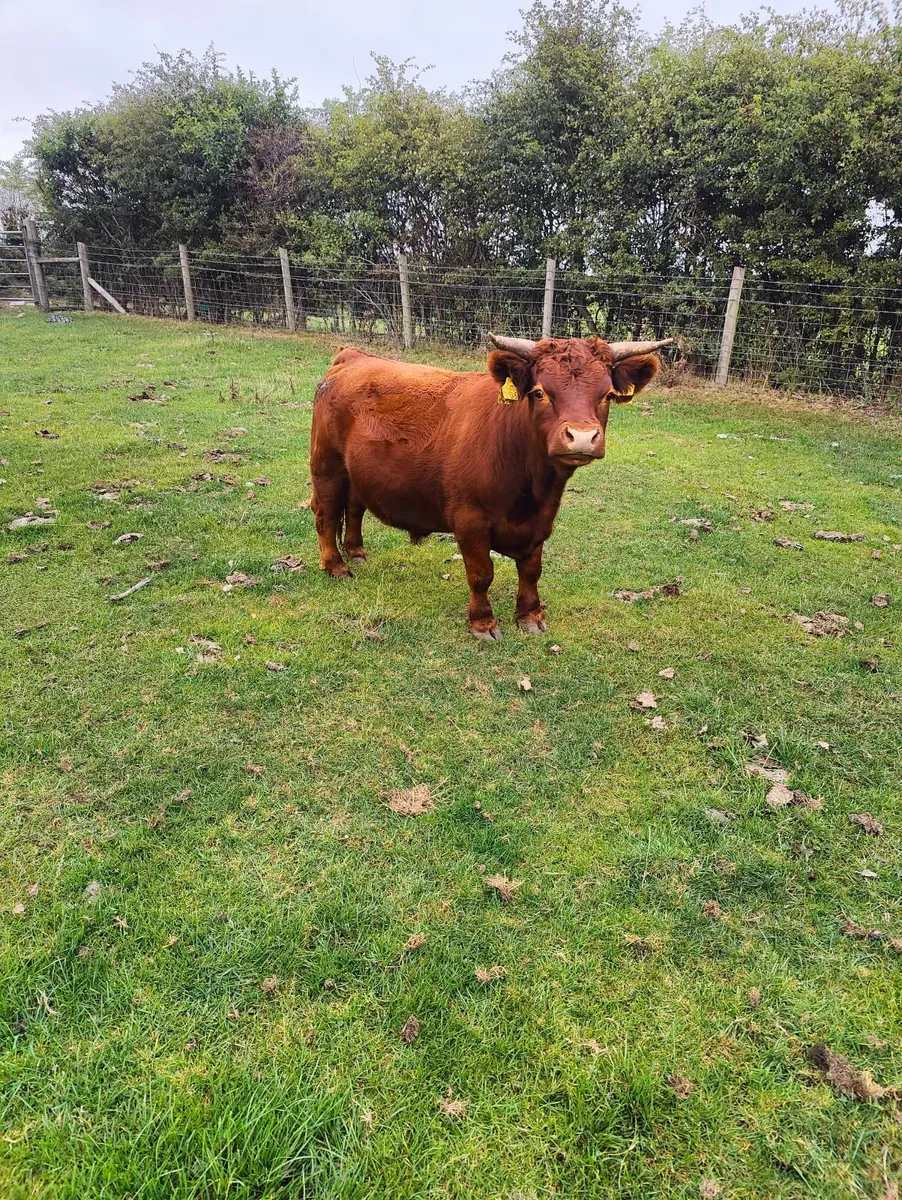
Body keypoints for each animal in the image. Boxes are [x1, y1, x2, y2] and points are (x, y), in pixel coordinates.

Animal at [310, 332, 672, 639]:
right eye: (539, 392)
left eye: (607, 394)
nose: (582, 437)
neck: (531, 490)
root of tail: (352, 357)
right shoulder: (469, 520)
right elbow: (481, 573)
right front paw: (483, 622)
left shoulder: (541, 521)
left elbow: (532, 571)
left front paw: (530, 616)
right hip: (327, 467)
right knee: (326, 514)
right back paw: (336, 565)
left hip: (357, 472)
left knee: (354, 506)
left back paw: (356, 551)